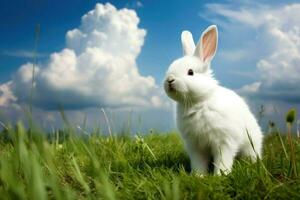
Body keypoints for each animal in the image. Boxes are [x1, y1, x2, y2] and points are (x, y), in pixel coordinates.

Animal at [164, 24, 262, 175]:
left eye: (190, 72)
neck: (198, 102)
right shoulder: (195, 145)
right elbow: (198, 162)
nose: (169, 80)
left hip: (251, 144)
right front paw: (198, 176)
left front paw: (220, 175)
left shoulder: (224, 141)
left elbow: (223, 160)